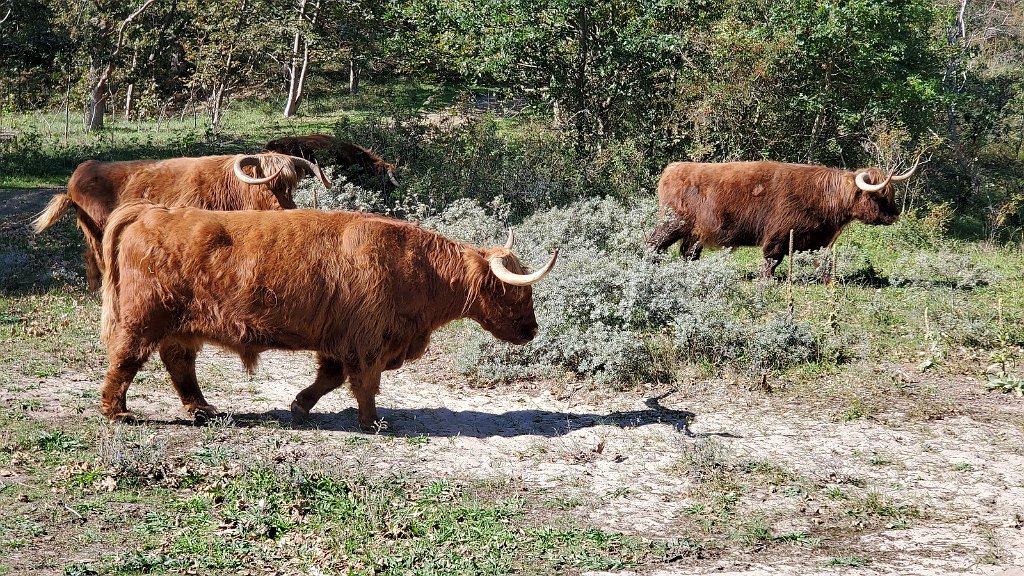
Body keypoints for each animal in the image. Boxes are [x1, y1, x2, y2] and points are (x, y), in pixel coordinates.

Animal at [32, 152, 329, 289]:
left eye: (290, 185)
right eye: (269, 184)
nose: (287, 208)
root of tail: (82, 170)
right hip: (98, 231)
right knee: (99, 257)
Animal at [99, 199, 557, 428]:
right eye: (515, 293)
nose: (532, 330)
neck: (418, 270)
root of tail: (151, 211)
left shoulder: (341, 341)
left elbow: (330, 378)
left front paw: (300, 406)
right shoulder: (369, 341)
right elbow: (365, 384)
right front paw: (372, 423)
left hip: (180, 324)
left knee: (179, 361)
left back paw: (201, 408)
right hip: (144, 318)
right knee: (126, 358)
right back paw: (117, 411)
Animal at [647, 154, 921, 276]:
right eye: (879, 195)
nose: (895, 215)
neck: (826, 196)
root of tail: (673, 168)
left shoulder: (819, 240)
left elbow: (822, 262)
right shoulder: (779, 234)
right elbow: (772, 259)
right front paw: (768, 280)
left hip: (694, 233)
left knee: (687, 252)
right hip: (671, 224)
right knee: (653, 244)